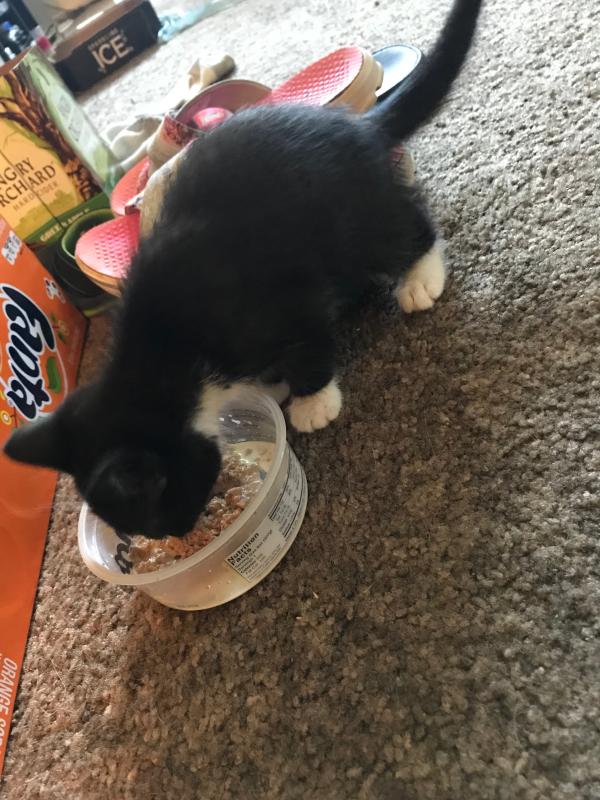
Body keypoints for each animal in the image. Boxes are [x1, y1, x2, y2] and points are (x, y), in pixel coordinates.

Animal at [4, 0, 484, 538]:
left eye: (160, 515)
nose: (178, 533)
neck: (164, 349)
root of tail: (356, 126)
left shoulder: (276, 300)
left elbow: (309, 344)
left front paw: (312, 401)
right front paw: (269, 386)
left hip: (348, 213)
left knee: (400, 228)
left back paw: (420, 277)